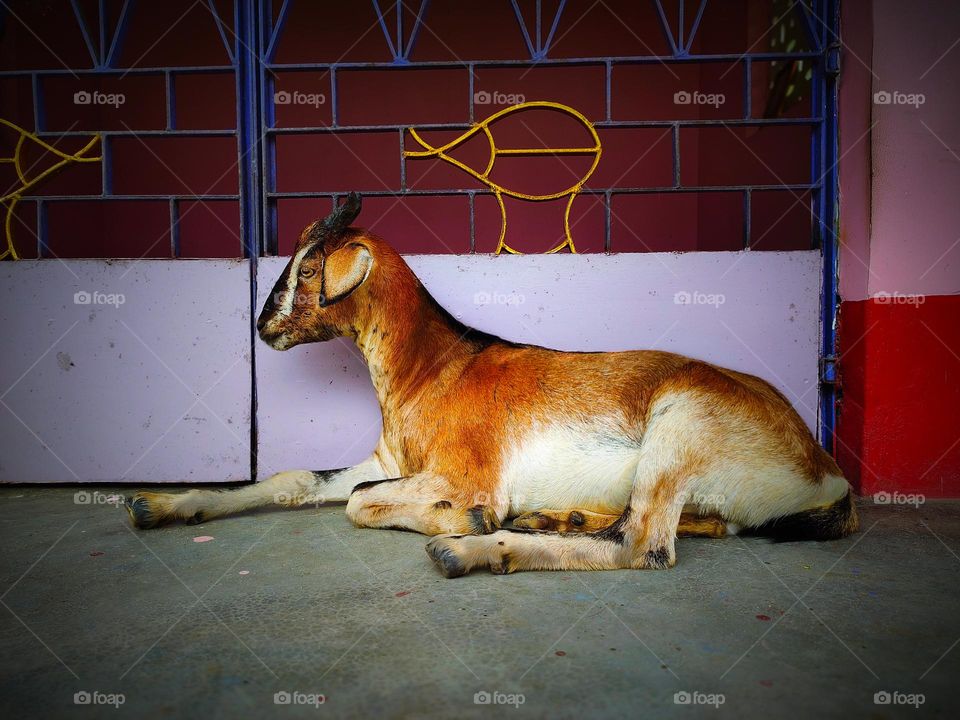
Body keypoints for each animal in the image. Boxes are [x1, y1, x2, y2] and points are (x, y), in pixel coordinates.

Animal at [126, 193, 859, 577]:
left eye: (308, 269)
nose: (262, 326)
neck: (436, 368)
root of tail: (825, 470)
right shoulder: (385, 462)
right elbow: (300, 480)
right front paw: (155, 505)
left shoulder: (462, 472)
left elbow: (360, 503)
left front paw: (469, 519)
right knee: (693, 528)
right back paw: (557, 517)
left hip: (681, 423)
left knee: (639, 546)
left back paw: (470, 549)